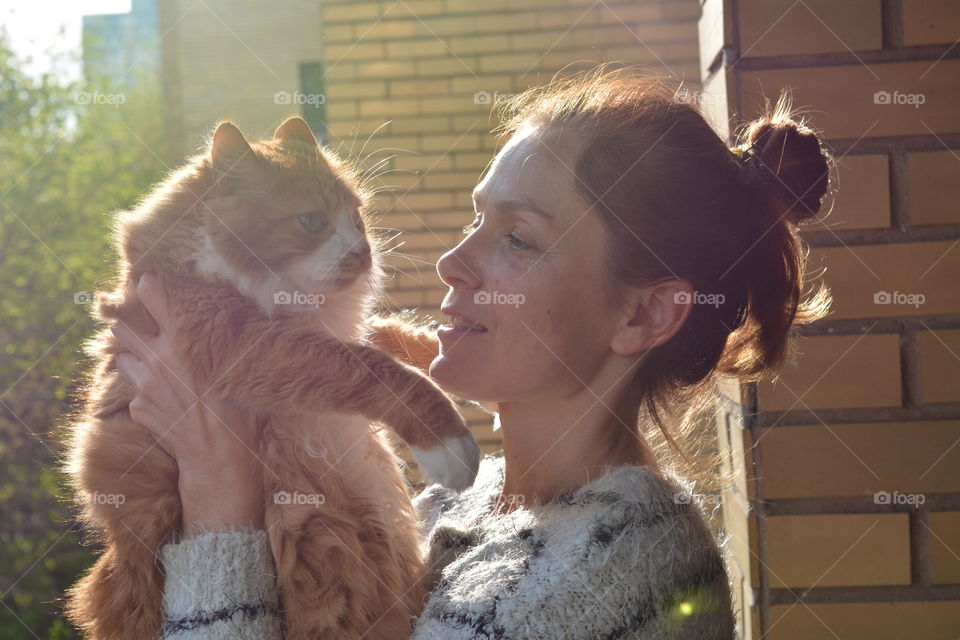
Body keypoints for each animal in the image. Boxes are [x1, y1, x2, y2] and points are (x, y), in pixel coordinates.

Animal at [63, 116, 480, 640]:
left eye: (357, 219)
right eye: (313, 222)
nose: (363, 252)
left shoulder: (328, 330)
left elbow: (397, 337)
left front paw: (449, 361)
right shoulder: (258, 348)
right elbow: (377, 371)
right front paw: (449, 442)